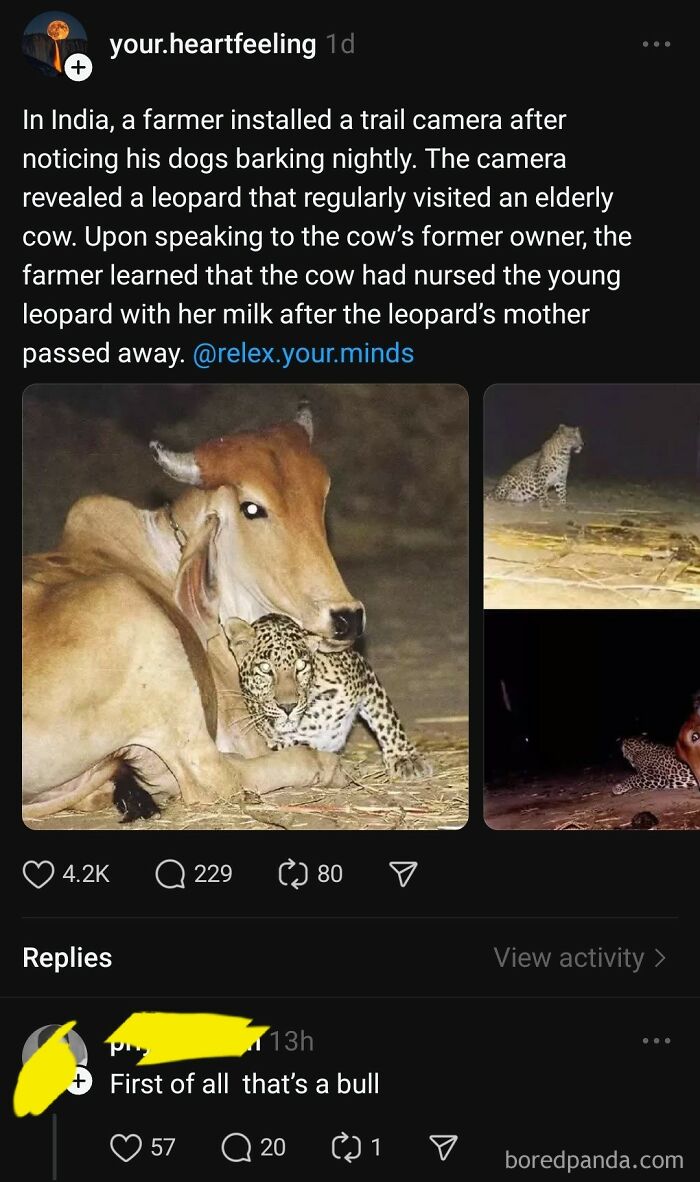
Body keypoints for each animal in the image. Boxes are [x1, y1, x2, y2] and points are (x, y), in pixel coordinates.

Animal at [224, 614, 431, 780]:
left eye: (301, 666)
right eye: (265, 668)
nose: (288, 707)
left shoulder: (364, 673)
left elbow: (386, 719)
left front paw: (405, 758)